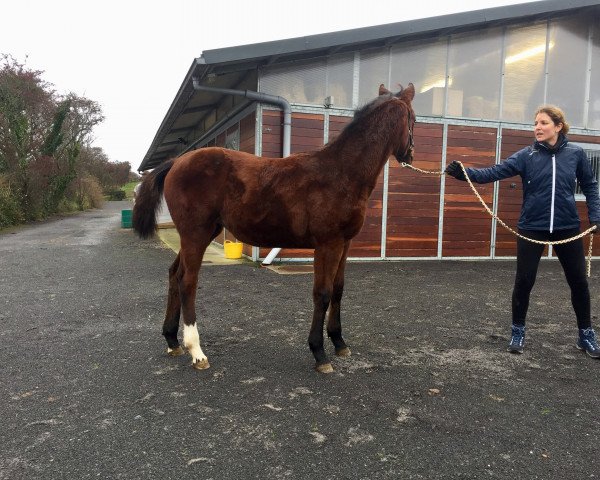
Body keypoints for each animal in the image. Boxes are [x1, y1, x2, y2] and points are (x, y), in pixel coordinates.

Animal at [135, 83, 418, 376]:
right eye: (414, 120)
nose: (410, 154)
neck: (341, 173)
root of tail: (177, 162)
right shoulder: (327, 244)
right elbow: (323, 293)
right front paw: (319, 352)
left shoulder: (345, 243)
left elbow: (338, 289)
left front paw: (339, 342)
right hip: (196, 234)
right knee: (187, 281)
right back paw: (197, 352)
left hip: (200, 234)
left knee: (174, 274)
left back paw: (172, 340)